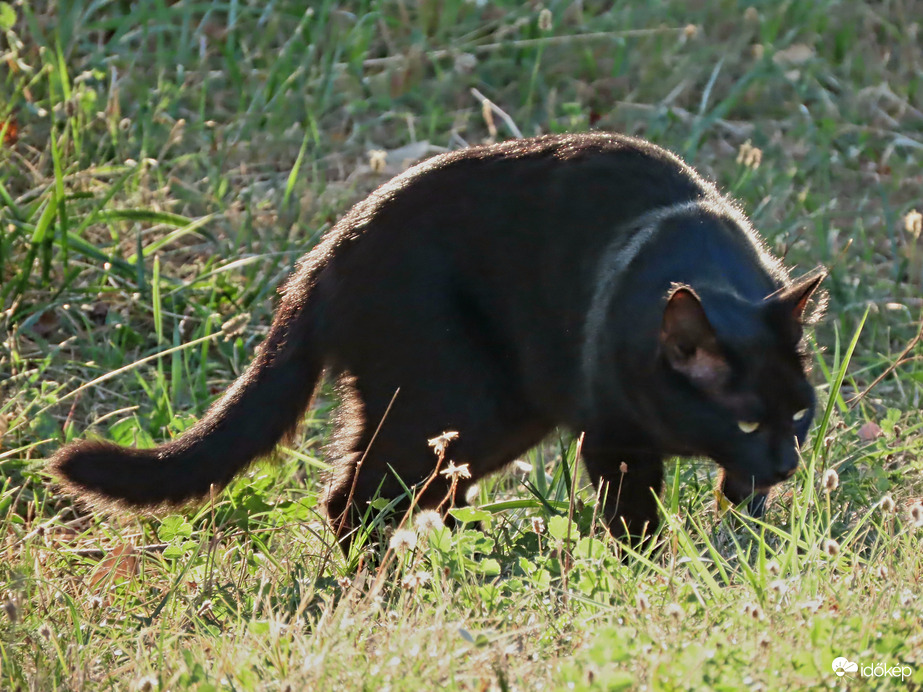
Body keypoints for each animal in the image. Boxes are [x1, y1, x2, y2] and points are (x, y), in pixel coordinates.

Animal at [50, 132, 828, 548]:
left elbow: (739, 501)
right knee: (352, 500)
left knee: (422, 494)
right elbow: (634, 524)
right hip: (455, 399)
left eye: (799, 416)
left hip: (492, 419)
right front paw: (650, 577)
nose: (787, 461)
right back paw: (378, 592)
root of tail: (324, 257)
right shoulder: (614, 440)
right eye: (747, 420)